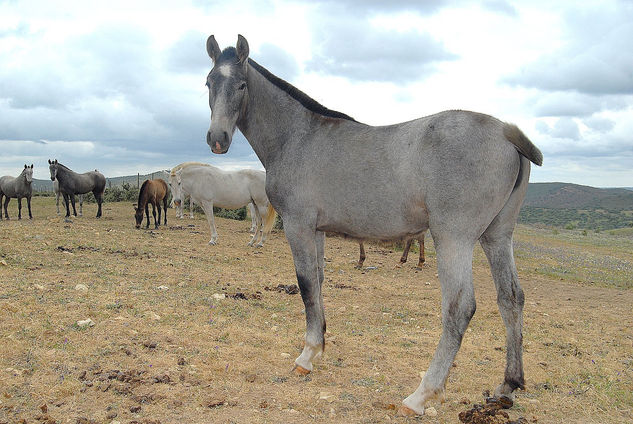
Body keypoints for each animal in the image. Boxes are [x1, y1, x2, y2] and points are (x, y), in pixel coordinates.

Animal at [204, 35, 544, 414]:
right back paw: (508, 386)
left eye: (242, 84)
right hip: (497, 237)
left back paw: (421, 394)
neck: (298, 137)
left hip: (453, 239)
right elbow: (318, 283)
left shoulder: (298, 226)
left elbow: (306, 285)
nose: (217, 138)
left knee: (459, 308)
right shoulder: (317, 231)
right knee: (511, 299)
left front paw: (306, 356)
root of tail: (506, 132)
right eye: (208, 82)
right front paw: (319, 347)